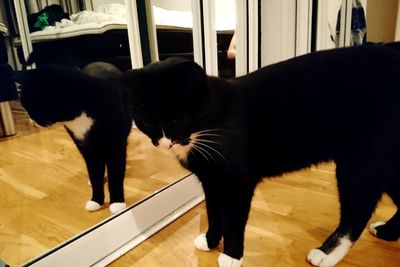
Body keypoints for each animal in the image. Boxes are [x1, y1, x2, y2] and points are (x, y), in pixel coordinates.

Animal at [18, 61, 130, 215]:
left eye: (30, 105)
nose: (31, 119)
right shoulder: (87, 149)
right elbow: (95, 175)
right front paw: (96, 200)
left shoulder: (115, 147)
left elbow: (115, 177)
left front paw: (117, 203)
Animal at [123, 45, 400, 266]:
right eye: (148, 122)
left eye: (176, 119)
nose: (166, 142)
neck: (210, 124)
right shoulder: (210, 180)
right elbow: (213, 212)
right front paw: (211, 241)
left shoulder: (237, 182)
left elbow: (233, 220)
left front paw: (231, 256)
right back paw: (387, 232)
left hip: (361, 162)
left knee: (358, 210)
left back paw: (327, 253)